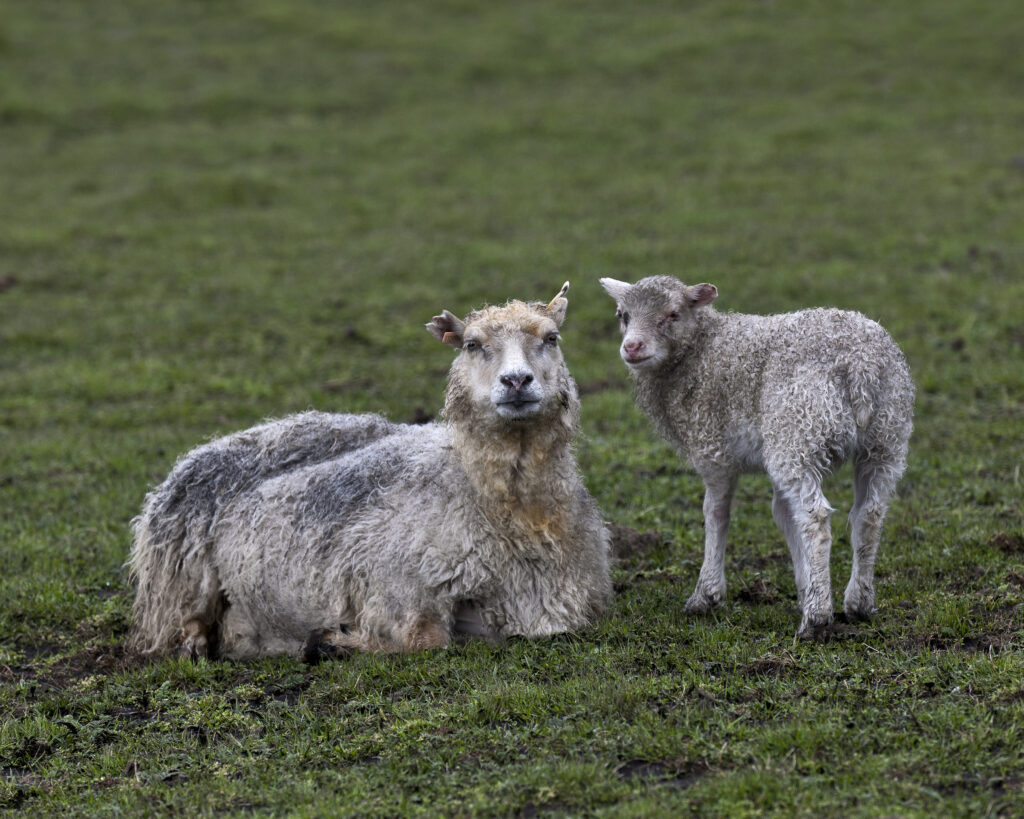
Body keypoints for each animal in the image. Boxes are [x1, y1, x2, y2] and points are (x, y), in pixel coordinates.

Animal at [128, 282, 612, 660]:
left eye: (551, 338)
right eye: (472, 345)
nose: (516, 381)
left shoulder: (563, 604)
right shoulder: (397, 592)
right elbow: (425, 641)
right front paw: (333, 641)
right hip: (182, 581)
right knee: (187, 630)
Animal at [600, 275, 914, 639]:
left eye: (673, 314)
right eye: (623, 315)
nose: (632, 347)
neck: (700, 350)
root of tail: (861, 363)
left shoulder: (713, 448)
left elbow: (715, 514)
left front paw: (706, 595)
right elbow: (783, 515)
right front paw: (806, 588)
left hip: (798, 430)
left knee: (817, 519)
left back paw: (816, 618)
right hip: (883, 438)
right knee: (869, 516)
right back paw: (858, 603)